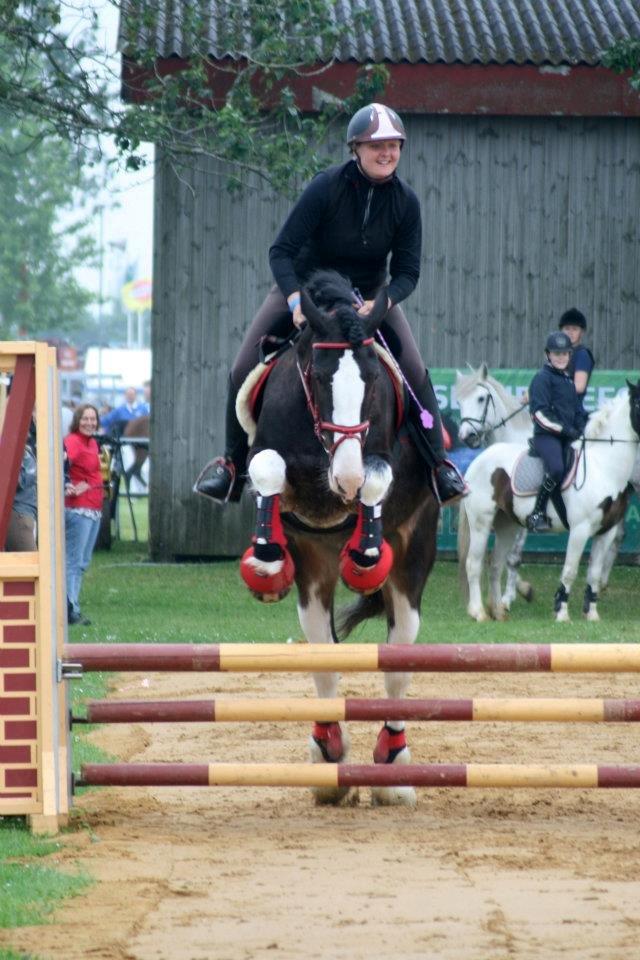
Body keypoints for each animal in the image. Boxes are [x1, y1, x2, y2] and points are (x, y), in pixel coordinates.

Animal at [240, 268, 440, 804]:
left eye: (371, 383)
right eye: (316, 377)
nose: (343, 480)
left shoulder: (381, 462)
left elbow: (376, 478)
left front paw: (366, 555)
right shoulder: (279, 473)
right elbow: (268, 467)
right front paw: (266, 560)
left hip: (415, 554)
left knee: (399, 652)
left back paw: (393, 765)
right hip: (315, 564)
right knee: (321, 645)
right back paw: (328, 751)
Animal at [458, 382, 640, 624]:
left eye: (481, 399)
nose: (467, 436)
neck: (603, 467)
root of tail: (478, 460)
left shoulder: (605, 532)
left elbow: (593, 573)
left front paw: (592, 614)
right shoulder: (580, 530)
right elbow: (570, 571)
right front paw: (562, 613)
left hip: (507, 525)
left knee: (495, 564)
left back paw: (498, 611)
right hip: (481, 523)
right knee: (474, 563)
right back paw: (479, 612)